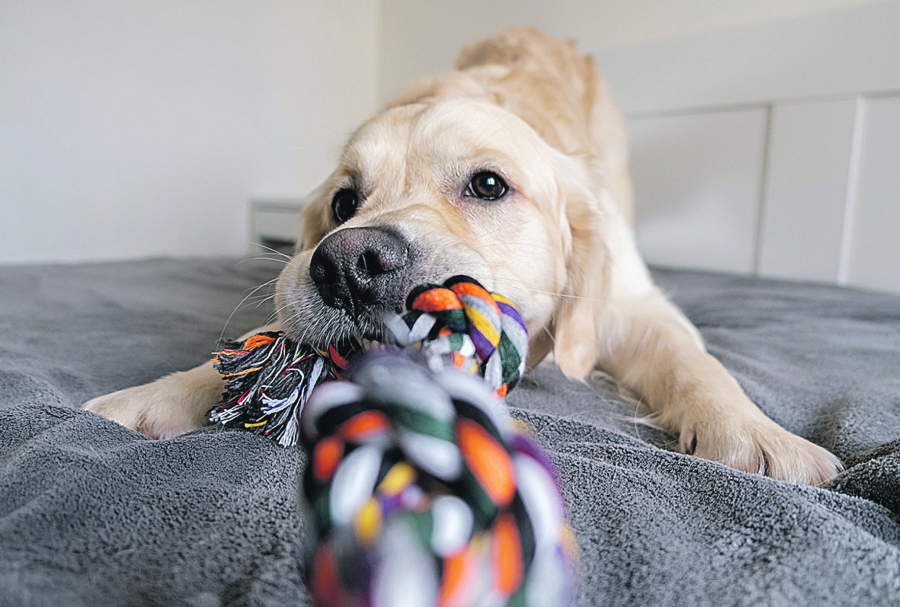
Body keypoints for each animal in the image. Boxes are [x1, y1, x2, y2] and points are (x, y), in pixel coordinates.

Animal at [86, 28, 844, 486]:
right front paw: (155, 396)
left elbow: (694, 361)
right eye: (343, 202)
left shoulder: (631, 304)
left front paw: (753, 433)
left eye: (488, 185)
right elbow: (258, 342)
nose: (348, 264)